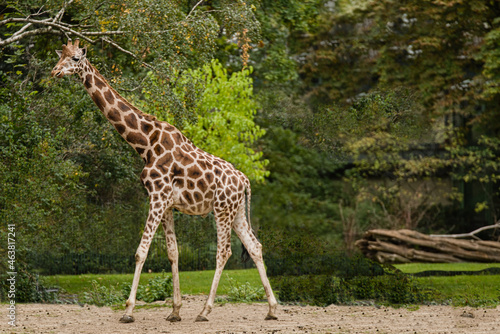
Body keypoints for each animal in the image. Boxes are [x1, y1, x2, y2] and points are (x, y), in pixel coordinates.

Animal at [51, 39, 278, 324]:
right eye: (60, 56)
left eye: (75, 59)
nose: (55, 72)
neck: (144, 143)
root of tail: (245, 180)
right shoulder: (167, 203)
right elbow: (173, 252)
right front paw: (175, 311)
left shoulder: (157, 197)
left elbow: (141, 251)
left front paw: (128, 310)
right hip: (236, 212)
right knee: (255, 246)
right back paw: (271, 309)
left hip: (222, 209)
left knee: (223, 252)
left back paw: (205, 311)